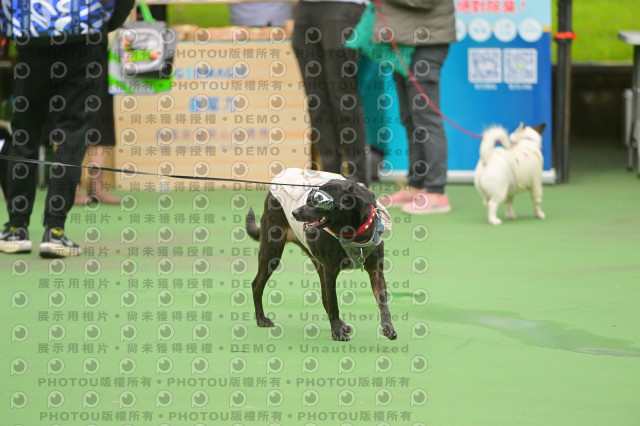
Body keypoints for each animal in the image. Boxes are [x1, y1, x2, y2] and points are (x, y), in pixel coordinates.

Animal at [245, 168, 397, 341]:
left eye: (320, 201)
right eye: (310, 198)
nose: (294, 212)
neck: (352, 233)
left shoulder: (375, 270)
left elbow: (383, 302)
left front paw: (388, 327)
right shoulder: (330, 270)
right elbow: (334, 303)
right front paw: (337, 332)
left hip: (317, 263)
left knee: (324, 297)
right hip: (272, 252)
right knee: (256, 284)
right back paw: (261, 319)